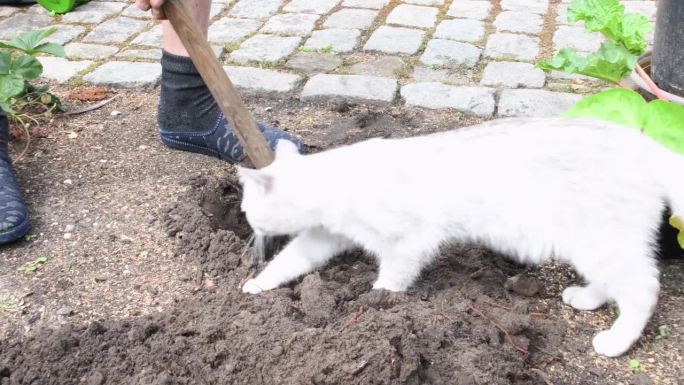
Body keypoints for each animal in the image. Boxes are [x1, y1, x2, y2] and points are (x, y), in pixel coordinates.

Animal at [236, 117, 684, 356]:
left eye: (246, 210)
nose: (248, 228)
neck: (334, 184)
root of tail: (645, 144)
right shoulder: (322, 238)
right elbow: (290, 262)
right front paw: (258, 283)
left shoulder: (410, 242)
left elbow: (391, 281)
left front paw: (377, 304)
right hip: (595, 243)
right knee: (614, 283)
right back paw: (587, 298)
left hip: (600, 241)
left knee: (643, 287)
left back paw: (617, 340)